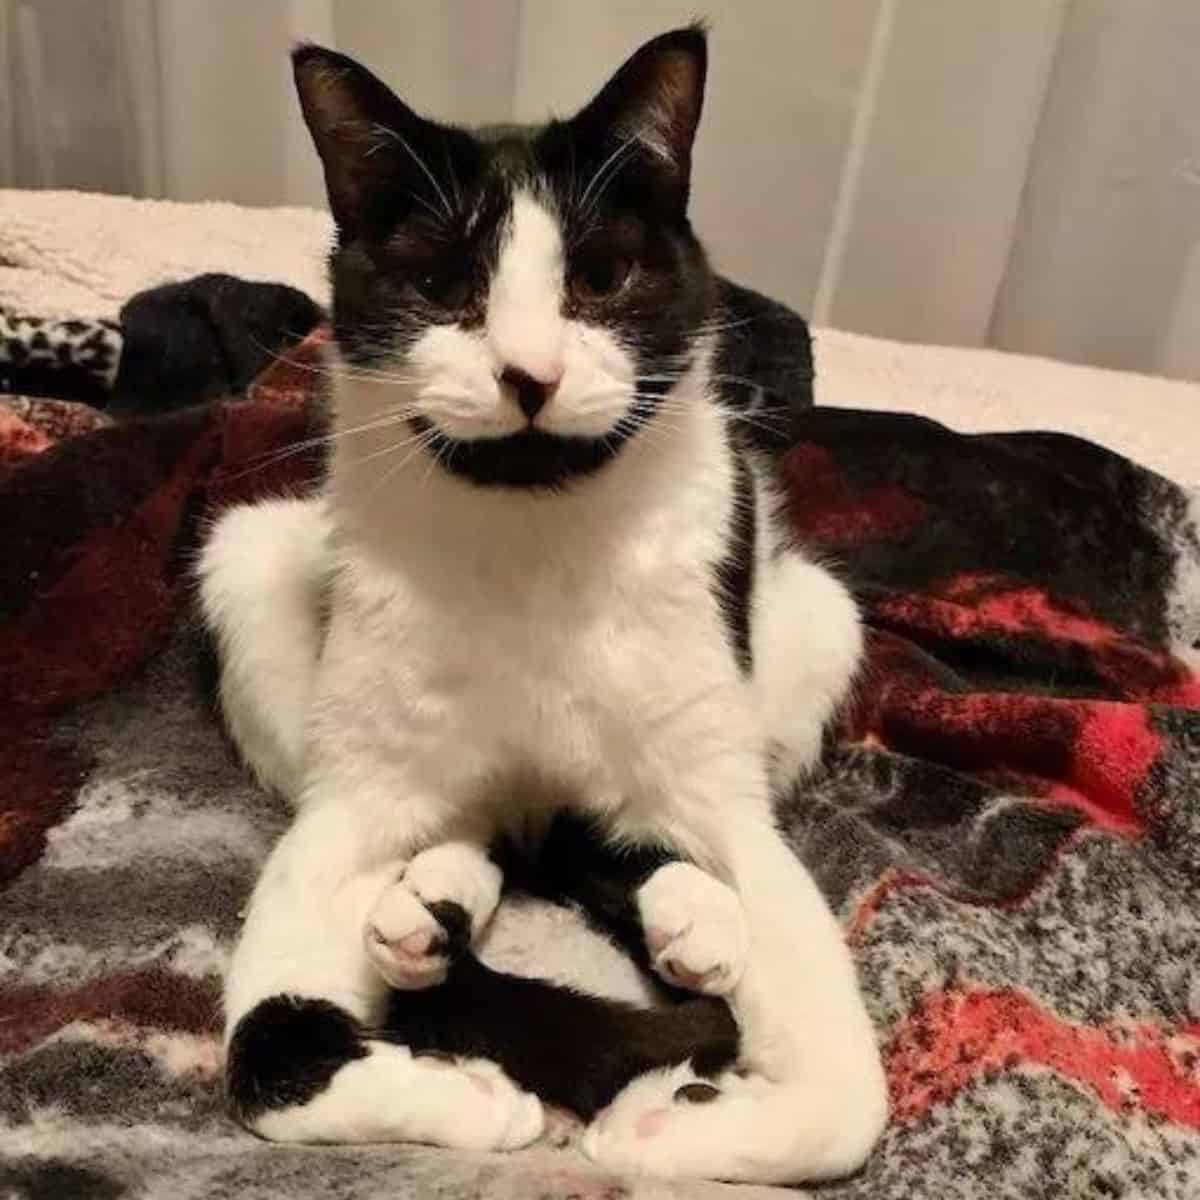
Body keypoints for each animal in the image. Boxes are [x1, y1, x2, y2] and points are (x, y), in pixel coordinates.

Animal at [196, 23, 888, 1185]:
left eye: (602, 277)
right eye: (441, 285)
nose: (530, 373)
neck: (533, 542)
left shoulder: (725, 798)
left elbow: (849, 1106)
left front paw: (667, 1128)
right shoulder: (350, 804)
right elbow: (265, 1056)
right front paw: (475, 1098)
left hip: (817, 618)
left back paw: (677, 917)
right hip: (245, 560)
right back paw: (434, 906)